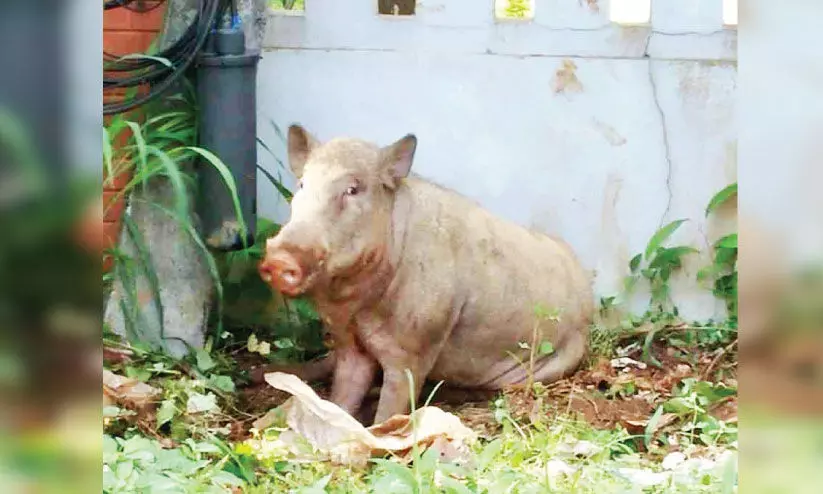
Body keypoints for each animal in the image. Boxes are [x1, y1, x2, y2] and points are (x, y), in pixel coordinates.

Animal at [258, 125, 593, 425]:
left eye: (352, 189)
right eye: (302, 185)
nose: (279, 258)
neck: (358, 305)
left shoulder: (417, 342)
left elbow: (393, 405)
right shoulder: (348, 341)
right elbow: (343, 395)